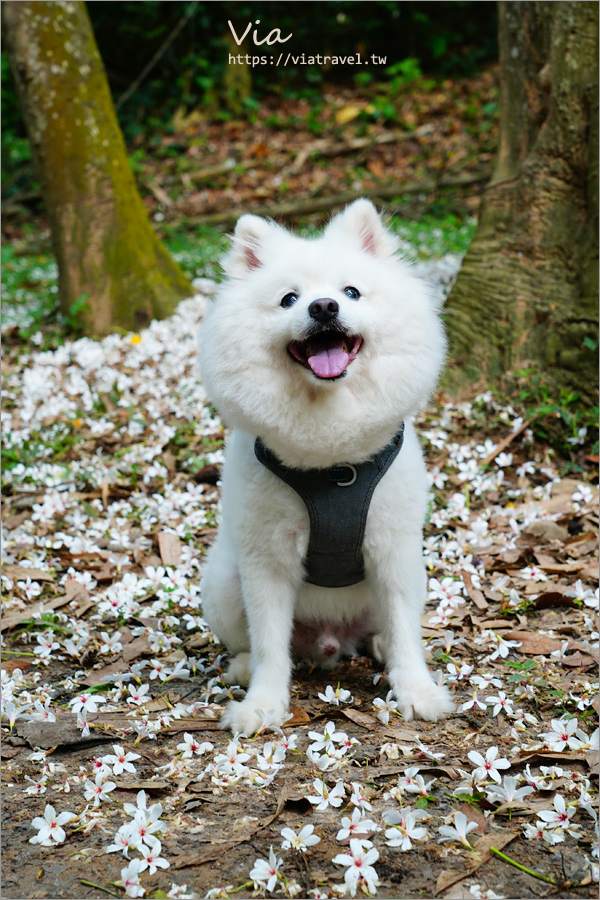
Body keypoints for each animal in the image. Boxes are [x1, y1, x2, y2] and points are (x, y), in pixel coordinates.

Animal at [199, 200, 452, 736]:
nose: (323, 307)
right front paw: (263, 704)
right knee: (256, 642)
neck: (332, 463)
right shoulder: (267, 561)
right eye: (288, 299)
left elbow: (404, 627)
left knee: (388, 629)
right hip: (224, 584)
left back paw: (378, 646)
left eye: (350, 291)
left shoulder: (394, 550)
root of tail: (331, 641)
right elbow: (270, 642)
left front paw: (416, 691)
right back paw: (243, 666)